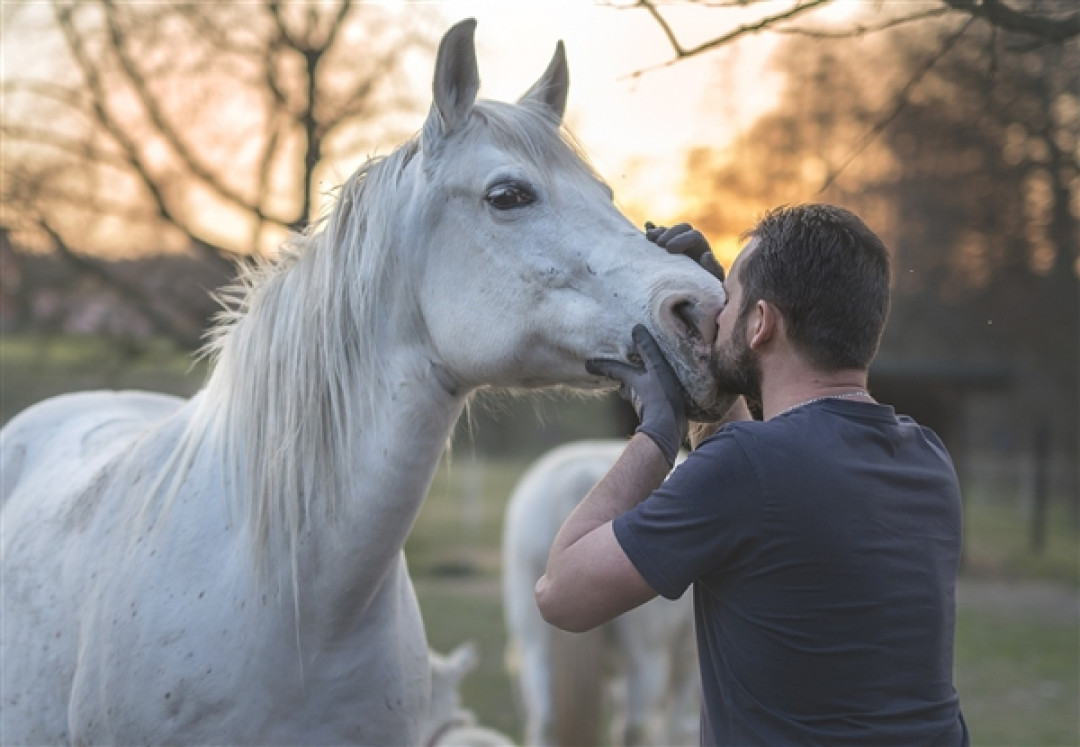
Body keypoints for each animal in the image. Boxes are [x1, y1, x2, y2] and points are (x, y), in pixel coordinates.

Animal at [503, 440, 700, 747]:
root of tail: (581, 476)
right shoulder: (687, 667)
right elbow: (672, 727)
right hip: (646, 659)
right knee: (634, 727)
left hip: (535, 651)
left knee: (545, 721)